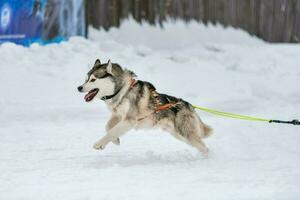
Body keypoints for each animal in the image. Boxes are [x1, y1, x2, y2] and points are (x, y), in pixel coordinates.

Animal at [78, 59, 212, 153]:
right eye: (86, 79)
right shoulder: (117, 115)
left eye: (93, 80)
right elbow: (108, 127)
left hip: (185, 134)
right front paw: (115, 140)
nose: (79, 87)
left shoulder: (129, 120)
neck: (122, 91)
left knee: (204, 147)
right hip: (178, 134)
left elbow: (112, 131)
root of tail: (189, 105)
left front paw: (99, 143)